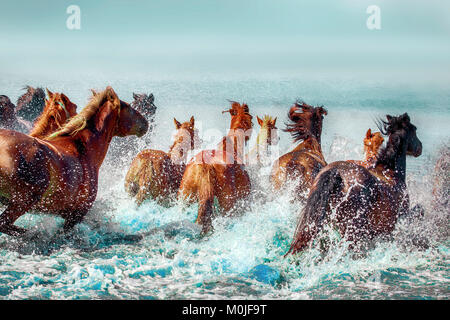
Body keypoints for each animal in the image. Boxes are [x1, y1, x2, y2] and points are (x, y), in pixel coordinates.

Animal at [0, 86, 148, 236]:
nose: (146, 122)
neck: (84, 148)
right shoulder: (76, 215)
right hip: (23, 201)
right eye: (129, 107)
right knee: (5, 224)